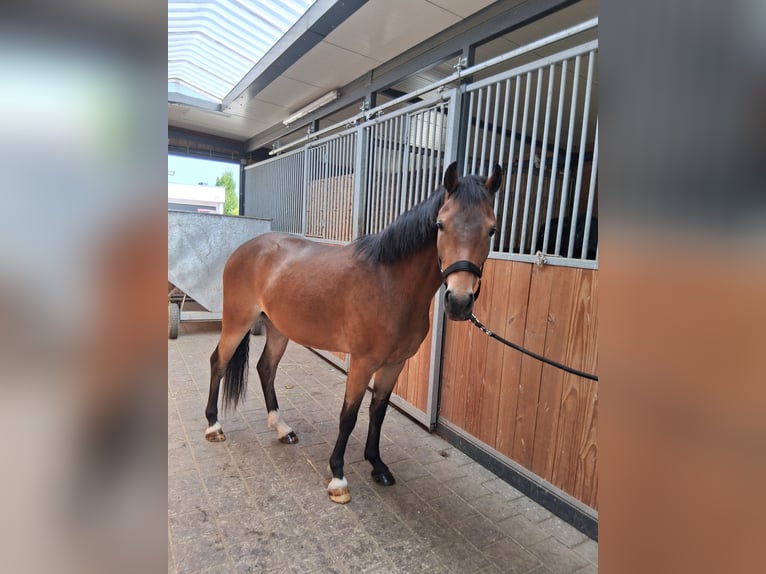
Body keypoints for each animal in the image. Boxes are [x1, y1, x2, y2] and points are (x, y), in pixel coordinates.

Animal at [204, 161, 502, 503]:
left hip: (278, 329)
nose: (459, 301)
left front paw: (377, 465)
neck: (389, 283)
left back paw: (281, 428)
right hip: (236, 322)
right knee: (218, 363)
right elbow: (349, 416)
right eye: (440, 225)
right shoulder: (362, 363)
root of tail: (244, 249)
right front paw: (338, 476)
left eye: (491, 230)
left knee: (266, 369)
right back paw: (213, 426)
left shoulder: (394, 364)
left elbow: (378, 411)